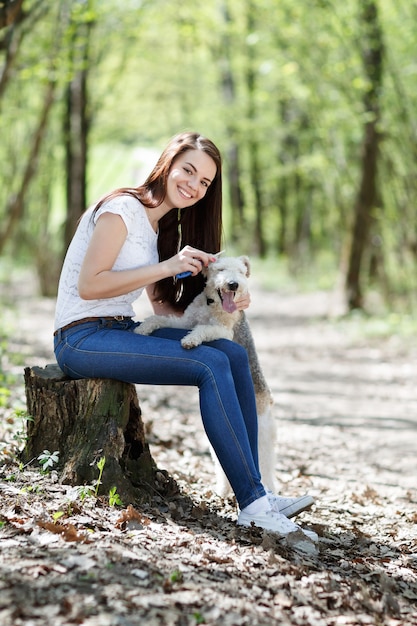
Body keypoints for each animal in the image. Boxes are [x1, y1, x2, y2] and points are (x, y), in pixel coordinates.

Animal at [135, 254, 274, 492]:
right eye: (221, 269)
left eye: (240, 272)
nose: (233, 284)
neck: (212, 304)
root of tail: (269, 398)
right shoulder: (184, 321)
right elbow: (161, 319)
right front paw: (143, 327)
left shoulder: (222, 330)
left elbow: (203, 329)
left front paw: (190, 340)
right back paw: (222, 491)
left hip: (263, 438)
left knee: (267, 470)